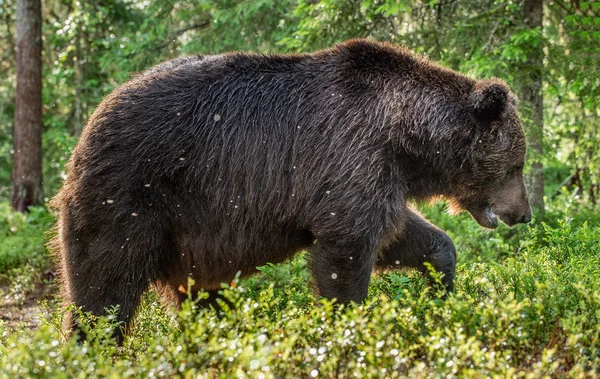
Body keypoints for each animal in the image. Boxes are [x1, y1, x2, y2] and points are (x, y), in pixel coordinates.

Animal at [50, 38, 528, 342]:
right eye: (518, 164)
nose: (523, 213)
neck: (405, 139)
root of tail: (82, 137)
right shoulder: (347, 158)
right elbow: (346, 257)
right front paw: (347, 328)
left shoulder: (375, 180)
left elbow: (405, 237)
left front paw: (440, 289)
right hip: (130, 200)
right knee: (103, 292)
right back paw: (92, 349)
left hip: (184, 241)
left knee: (201, 299)